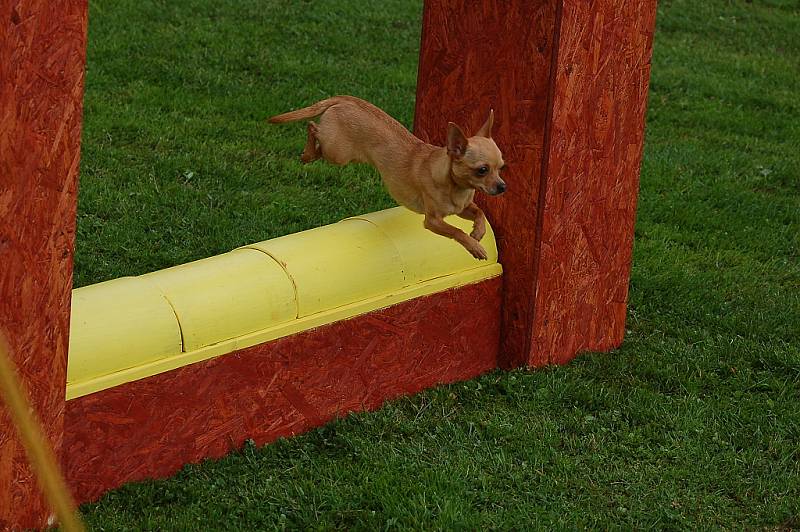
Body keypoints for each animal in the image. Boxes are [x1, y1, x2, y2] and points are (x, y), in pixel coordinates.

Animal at [268, 97, 506, 260]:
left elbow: (480, 213)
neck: (456, 187)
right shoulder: (433, 221)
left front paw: (478, 232)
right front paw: (475, 247)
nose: (503, 186)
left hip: (339, 154)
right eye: (482, 170)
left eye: (501, 168)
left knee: (315, 142)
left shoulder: (462, 208)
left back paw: (307, 154)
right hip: (337, 153)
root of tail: (347, 99)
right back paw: (307, 150)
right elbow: (456, 231)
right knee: (312, 127)